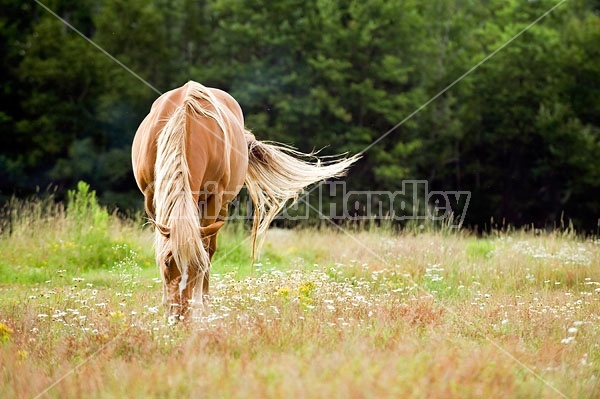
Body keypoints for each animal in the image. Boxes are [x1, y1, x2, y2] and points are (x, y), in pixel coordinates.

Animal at [131, 82, 356, 322]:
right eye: (167, 263)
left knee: (210, 247)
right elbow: (161, 245)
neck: (187, 127)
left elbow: (205, 250)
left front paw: (199, 308)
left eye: (196, 266)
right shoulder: (152, 199)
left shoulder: (214, 200)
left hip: (220, 207)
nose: (180, 317)